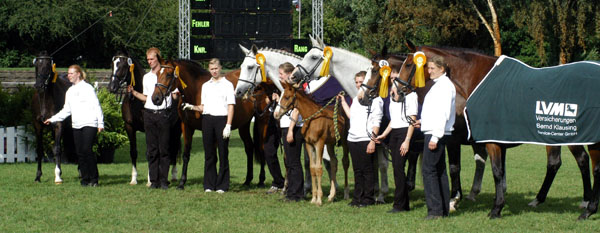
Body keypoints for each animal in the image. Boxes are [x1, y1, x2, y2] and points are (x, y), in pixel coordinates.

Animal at [31, 51, 75, 184]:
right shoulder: (38, 126)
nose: (39, 85)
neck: (44, 100)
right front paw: (38, 176)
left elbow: (57, 149)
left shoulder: (58, 125)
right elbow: (40, 150)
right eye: (37, 65)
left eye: (47, 66)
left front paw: (58, 175)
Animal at [108, 51, 182, 186]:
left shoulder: (148, 128)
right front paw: (133, 179)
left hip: (176, 129)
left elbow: (149, 152)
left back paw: (173, 175)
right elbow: (133, 152)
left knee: (173, 149)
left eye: (123, 66)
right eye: (112, 65)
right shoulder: (129, 127)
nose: (112, 87)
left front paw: (149, 180)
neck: (137, 101)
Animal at [150, 58, 264, 189]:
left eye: (168, 74)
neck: (195, 91)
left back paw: (261, 180)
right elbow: (186, 154)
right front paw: (182, 183)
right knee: (249, 147)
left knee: (261, 147)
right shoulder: (187, 127)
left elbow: (214, 156)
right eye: (157, 74)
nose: (155, 98)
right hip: (243, 125)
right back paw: (247, 180)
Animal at [394, 42, 596, 219]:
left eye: (409, 64)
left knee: (582, 160)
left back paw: (586, 202)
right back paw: (539, 200)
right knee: (555, 163)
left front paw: (486, 206)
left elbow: (484, 170)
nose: (396, 93)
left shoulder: (472, 140)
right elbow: (496, 171)